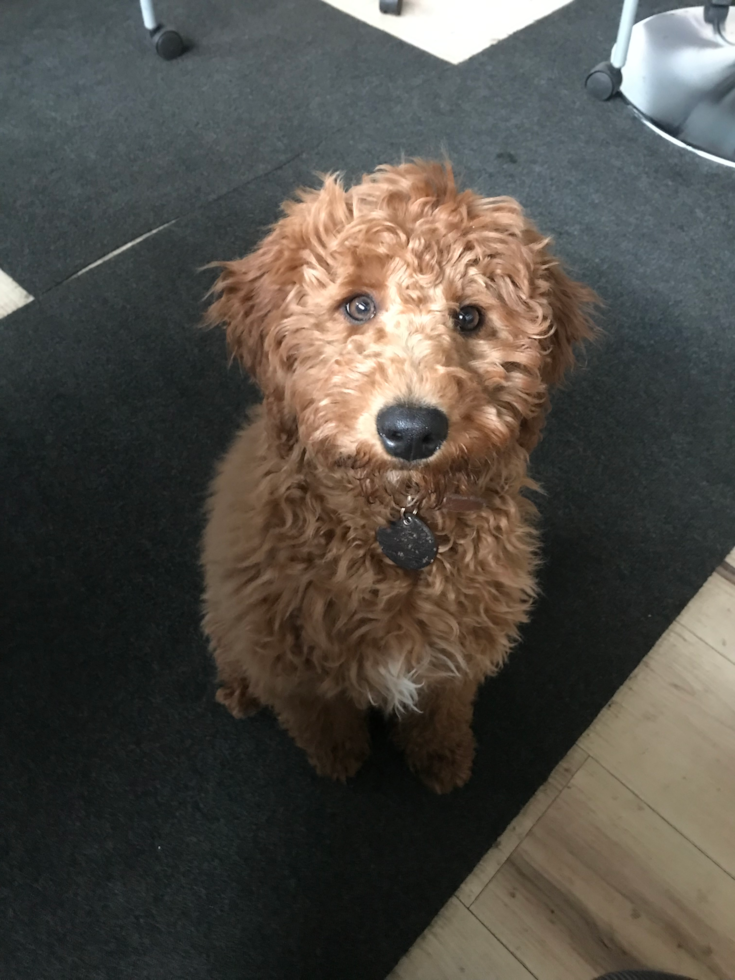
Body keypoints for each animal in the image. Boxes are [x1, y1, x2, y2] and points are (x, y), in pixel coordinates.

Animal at [203, 159, 600, 788]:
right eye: (358, 306)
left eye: (470, 316)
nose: (412, 431)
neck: (398, 514)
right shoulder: (292, 659)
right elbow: (319, 716)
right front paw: (339, 759)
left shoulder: (460, 647)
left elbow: (443, 706)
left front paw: (442, 757)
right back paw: (238, 689)